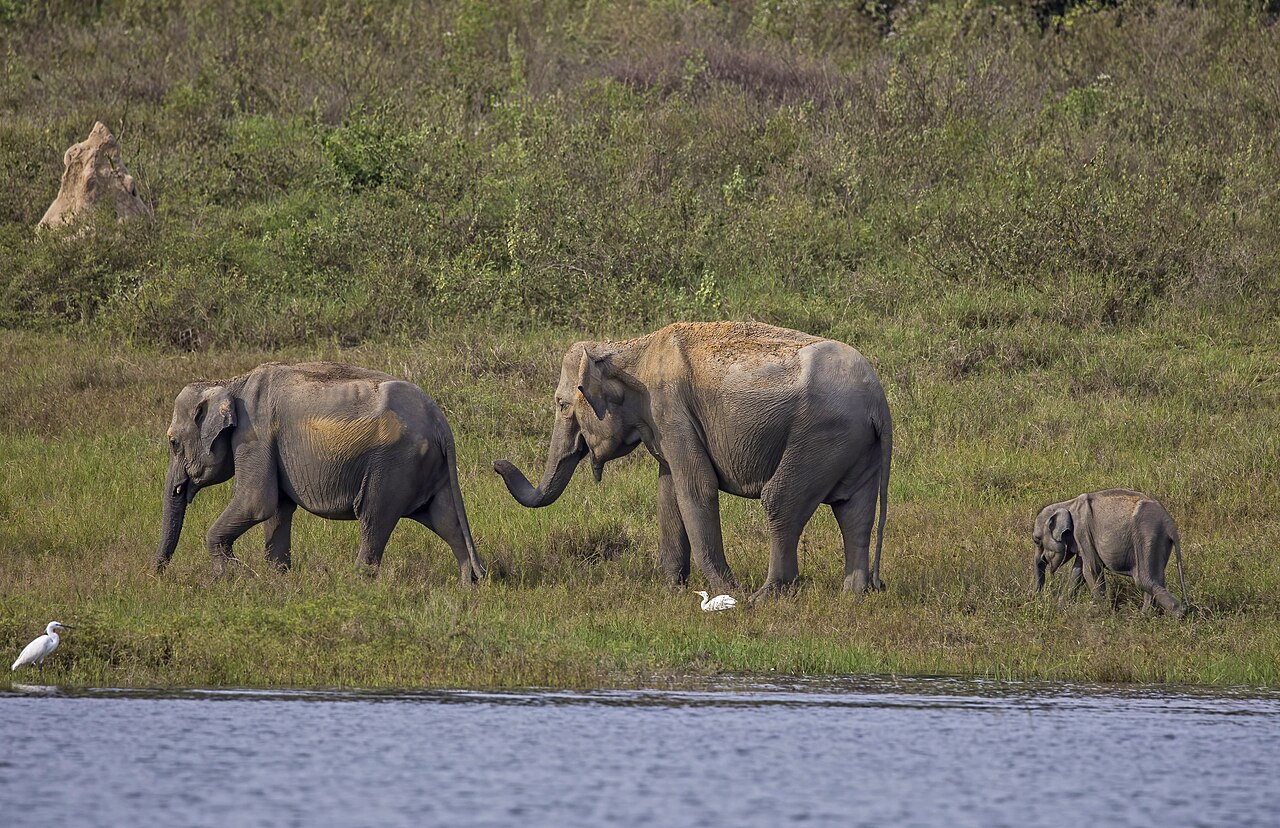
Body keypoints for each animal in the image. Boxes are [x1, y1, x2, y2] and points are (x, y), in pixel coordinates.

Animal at [156, 361, 485, 584]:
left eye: (173, 442)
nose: (158, 574)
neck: (231, 382)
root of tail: (440, 421)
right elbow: (277, 509)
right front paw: (277, 578)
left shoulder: (254, 436)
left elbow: (256, 502)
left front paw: (232, 576)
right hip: (426, 467)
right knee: (445, 519)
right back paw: (467, 585)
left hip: (395, 464)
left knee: (374, 517)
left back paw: (356, 582)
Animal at [492, 321, 892, 601]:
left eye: (562, 405)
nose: (497, 463)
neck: (629, 348)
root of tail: (879, 401)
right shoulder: (664, 425)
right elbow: (667, 492)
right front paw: (672, 591)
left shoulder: (671, 410)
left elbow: (695, 488)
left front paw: (728, 593)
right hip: (853, 445)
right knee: (854, 512)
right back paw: (852, 595)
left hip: (821, 436)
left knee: (781, 501)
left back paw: (763, 597)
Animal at [1033, 488, 1188, 617]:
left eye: (1036, 541)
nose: (1036, 600)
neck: (1067, 504)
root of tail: (1169, 523)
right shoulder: (1083, 540)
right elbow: (1078, 571)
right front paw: (1060, 609)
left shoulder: (1082, 531)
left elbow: (1090, 570)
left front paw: (1103, 613)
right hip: (1159, 540)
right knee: (1154, 578)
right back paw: (1146, 616)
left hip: (1147, 535)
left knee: (1143, 579)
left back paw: (1179, 614)